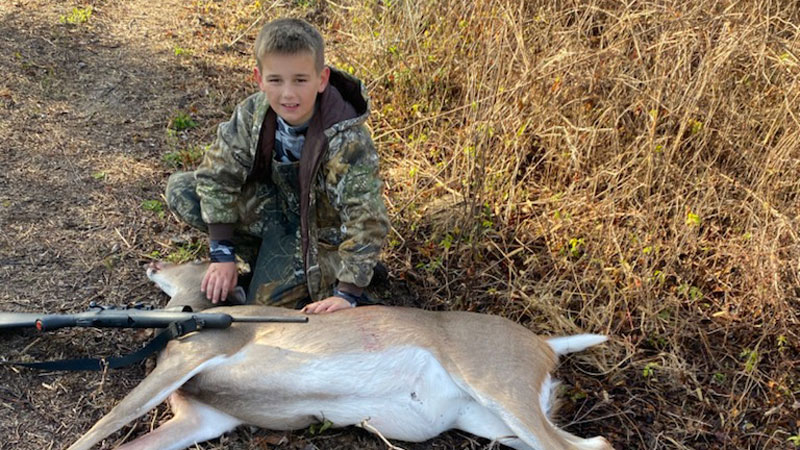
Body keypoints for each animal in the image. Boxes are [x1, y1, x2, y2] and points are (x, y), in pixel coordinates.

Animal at [66, 261, 613, 450]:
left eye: (194, 259)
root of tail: (545, 345)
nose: (153, 262)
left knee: (592, 446)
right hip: (491, 422)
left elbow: (104, 425)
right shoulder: (205, 417)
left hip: (499, 385)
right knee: (592, 442)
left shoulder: (190, 360)